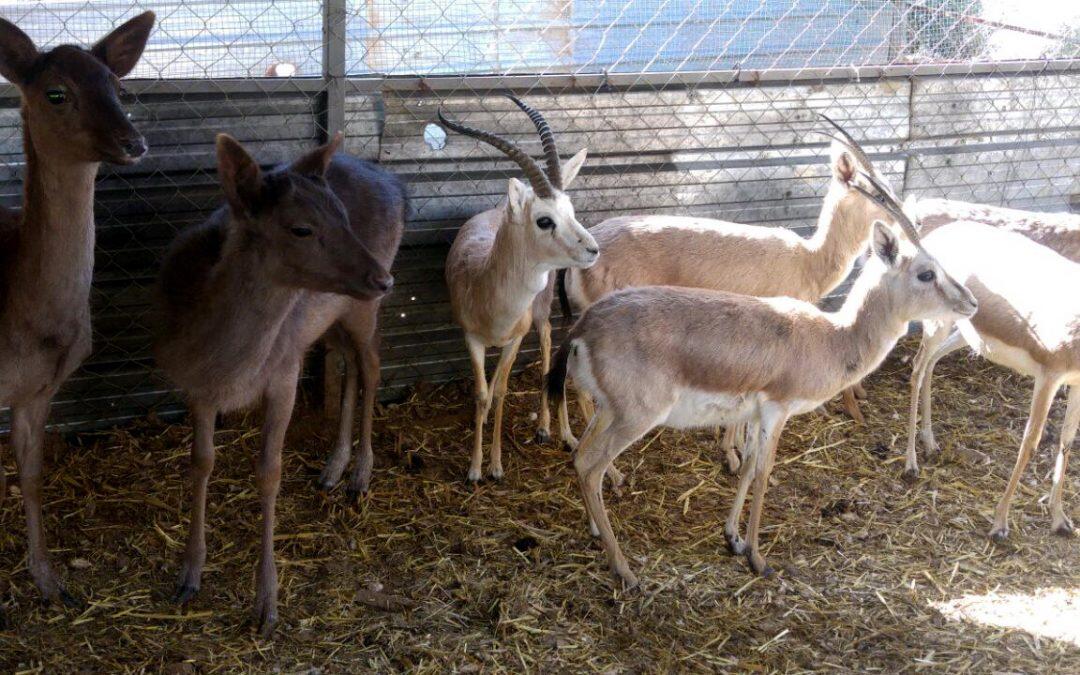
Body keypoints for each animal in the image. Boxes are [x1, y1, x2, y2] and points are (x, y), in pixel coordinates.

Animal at [0, 11, 154, 622]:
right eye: (56, 92)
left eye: (118, 87)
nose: (134, 142)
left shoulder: (41, 388)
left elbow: (32, 475)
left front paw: (51, 581)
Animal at [154, 134, 403, 635]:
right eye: (301, 228)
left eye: (343, 214)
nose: (383, 279)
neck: (229, 360)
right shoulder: (196, 384)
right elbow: (200, 461)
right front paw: (189, 575)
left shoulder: (285, 371)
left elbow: (269, 472)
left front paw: (266, 602)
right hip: (331, 317)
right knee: (348, 363)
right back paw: (334, 466)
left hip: (361, 309)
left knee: (371, 366)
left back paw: (361, 474)